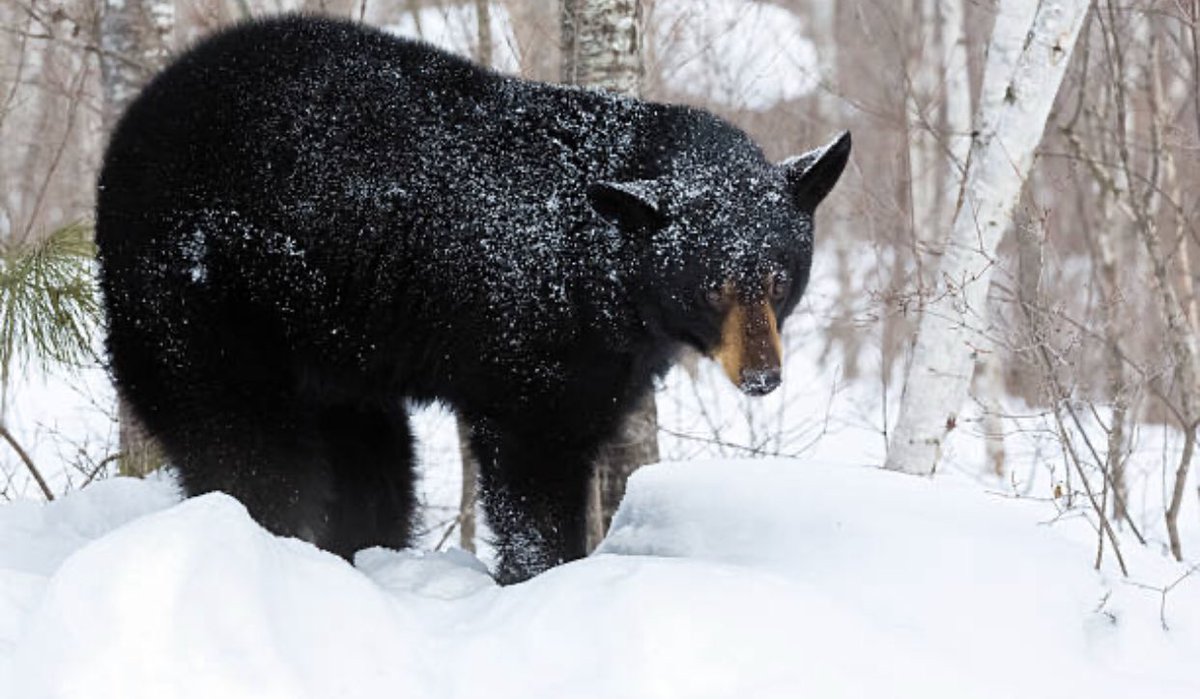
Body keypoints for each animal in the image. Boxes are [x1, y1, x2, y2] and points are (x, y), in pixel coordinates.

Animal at [96, 15, 850, 584]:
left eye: (779, 278)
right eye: (711, 283)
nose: (763, 376)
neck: (604, 268)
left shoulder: (611, 357)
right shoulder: (532, 341)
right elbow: (531, 467)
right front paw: (546, 575)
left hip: (333, 353)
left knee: (373, 460)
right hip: (199, 299)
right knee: (245, 445)